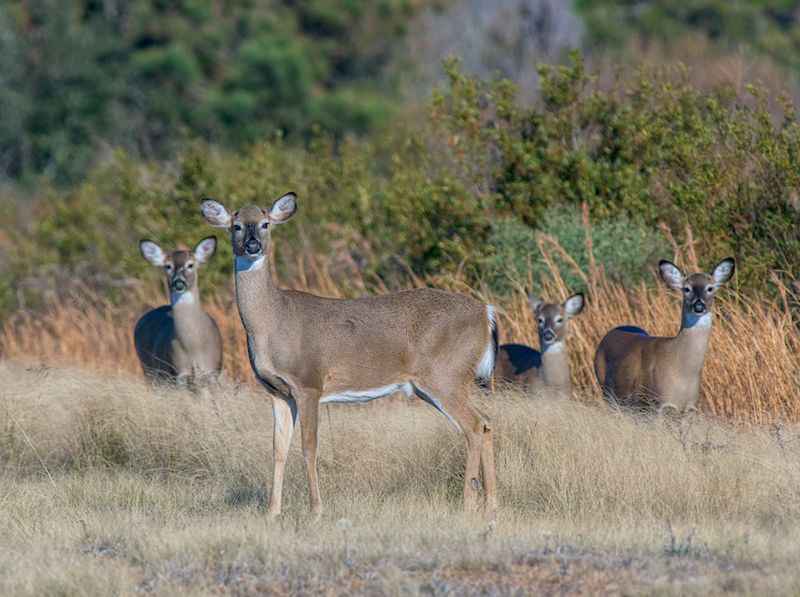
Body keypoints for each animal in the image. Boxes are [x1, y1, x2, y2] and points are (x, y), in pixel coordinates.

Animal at [134, 234, 222, 386]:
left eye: (190, 265)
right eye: (168, 266)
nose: (178, 282)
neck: (194, 346)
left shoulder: (212, 371)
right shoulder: (179, 372)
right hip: (150, 370)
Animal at [200, 193, 496, 520]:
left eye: (265, 224)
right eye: (236, 226)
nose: (253, 245)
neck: (271, 321)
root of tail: (486, 313)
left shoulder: (309, 383)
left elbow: (309, 446)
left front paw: (316, 510)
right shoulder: (277, 391)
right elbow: (279, 449)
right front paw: (272, 512)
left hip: (446, 376)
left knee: (474, 426)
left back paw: (468, 504)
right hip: (434, 384)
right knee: (486, 424)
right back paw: (491, 504)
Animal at [592, 256, 736, 414]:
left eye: (710, 288)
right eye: (686, 289)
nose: (699, 306)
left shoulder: (690, 408)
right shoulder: (658, 403)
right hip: (608, 389)